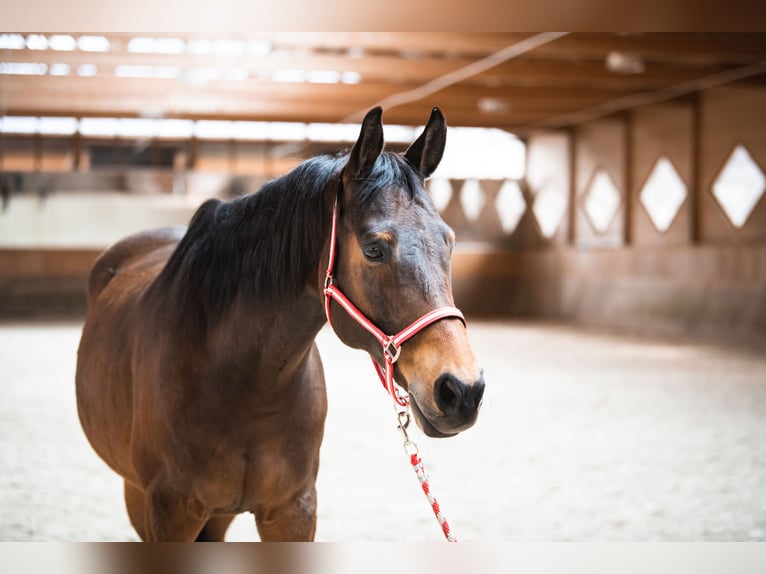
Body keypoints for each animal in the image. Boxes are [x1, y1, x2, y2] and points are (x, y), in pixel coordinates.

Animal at [75, 107, 485, 541]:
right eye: (374, 249)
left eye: (449, 241)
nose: (462, 389)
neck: (238, 382)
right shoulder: (170, 510)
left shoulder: (292, 510)